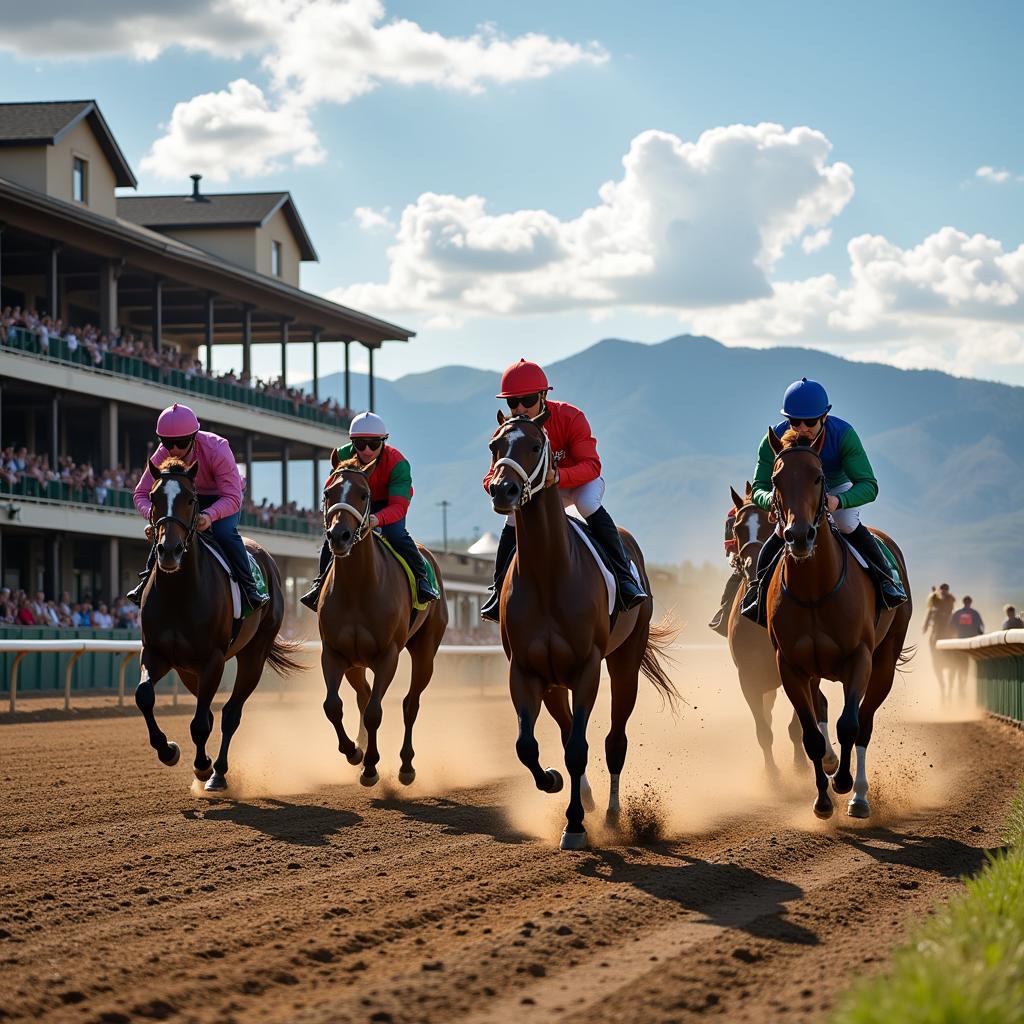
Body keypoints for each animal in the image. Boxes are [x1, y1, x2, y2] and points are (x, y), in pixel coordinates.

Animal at [135, 458, 299, 790]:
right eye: (155, 498)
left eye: (190, 499)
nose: (168, 551)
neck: (179, 593)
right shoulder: (156, 652)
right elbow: (144, 696)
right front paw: (168, 750)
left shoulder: (213, 659)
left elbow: (200, 723)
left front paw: (202, 766)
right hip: (188, 670)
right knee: (209, 709)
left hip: (254, 654)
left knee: (230, 713)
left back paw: (219, 772)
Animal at [315, 454, 444, 782]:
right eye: (328, 493)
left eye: (364, 494)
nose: (339, 536)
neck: (358, 588)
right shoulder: (334, 653)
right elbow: (333, 705)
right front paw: (354, 752)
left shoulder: (388, 655)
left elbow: (376, 711)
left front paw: (372, 765)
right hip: (355, 663)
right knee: (363, 696)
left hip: (425, 651)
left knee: (410, 703)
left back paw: (407, 765)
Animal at [483, 407, 675, 847]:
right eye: (495, 445)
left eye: (535, 445)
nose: (502, 490)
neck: (548, 573)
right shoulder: (525, 670)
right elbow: (527, 745)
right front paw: (553, 783)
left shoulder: (587, 668)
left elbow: (578, 749)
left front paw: (574, 826)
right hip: (554, 682)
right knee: (567, 728)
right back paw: (585, 797)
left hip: (624, 662)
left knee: (614, 740)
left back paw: (612, 814)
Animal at [770, 428, 913, 819]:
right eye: (776, 479)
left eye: (818, 476)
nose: (799, 535)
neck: (815, 590)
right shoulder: (790, 666)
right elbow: (810, 735)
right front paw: (822, 799)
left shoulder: (859, 657)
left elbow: (850, 724)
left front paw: (845, 784)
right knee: (822, 709)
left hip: (884, 662)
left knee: (865, 722)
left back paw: (860, 796)